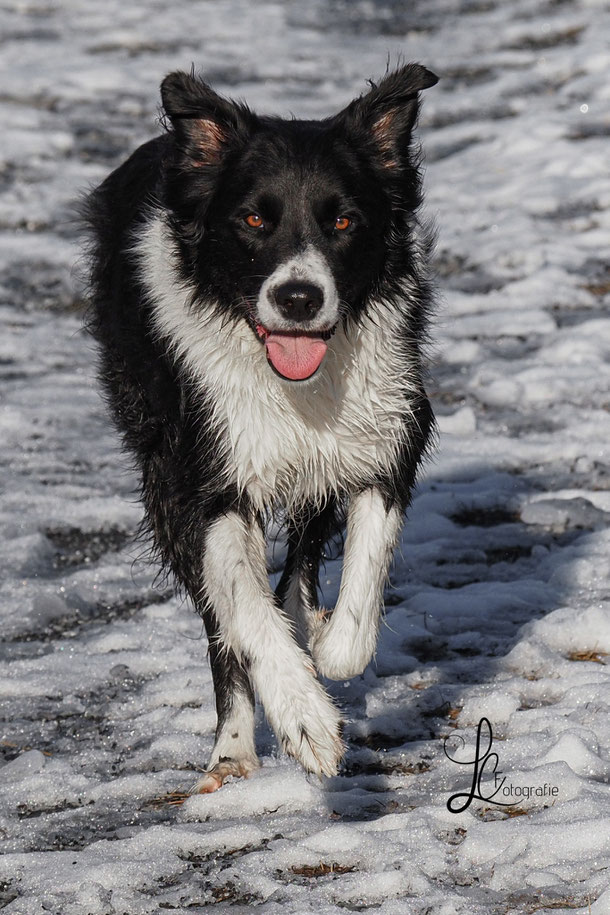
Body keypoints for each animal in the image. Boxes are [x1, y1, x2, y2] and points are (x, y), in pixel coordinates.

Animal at [84, 64, 436, 796]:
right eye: (252, 219)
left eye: (343, 220)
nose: (298, 298)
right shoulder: (203, 477)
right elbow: (244, 606)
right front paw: (305, 719)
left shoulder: (387, 431)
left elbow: (359, 591)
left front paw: (327, 647)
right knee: (225, 620)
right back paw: (233, 750)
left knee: (302, 552)